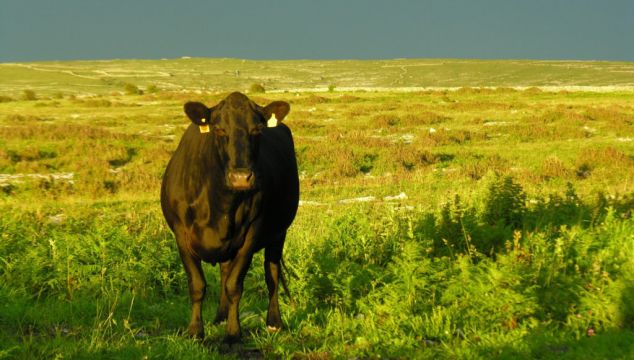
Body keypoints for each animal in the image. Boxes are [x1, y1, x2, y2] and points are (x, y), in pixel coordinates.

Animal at [162, 91, 300, 342]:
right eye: (218, 129)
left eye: (257, 129)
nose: (240, 177)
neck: (220, 204)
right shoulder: (181, 234)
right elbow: (198, 284)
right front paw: (195, 331)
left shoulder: (251, 235)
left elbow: (234, 285)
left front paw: (233, 334)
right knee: (225, 270)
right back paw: (220, 316)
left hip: (279, 232)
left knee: (272, 274)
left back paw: (274, 322)